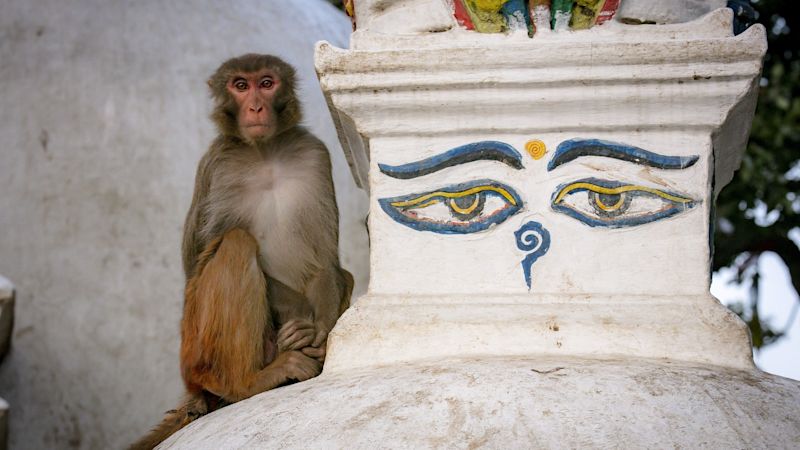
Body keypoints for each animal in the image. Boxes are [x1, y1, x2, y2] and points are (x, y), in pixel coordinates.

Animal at [132, 53, 354, 450]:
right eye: (240, 85)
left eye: (266, 83)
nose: (255, 106)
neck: (265, 154)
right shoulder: (218, 165)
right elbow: (196, 259)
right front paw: (304, 326)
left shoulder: (315, 156)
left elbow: (327, 262)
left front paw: (318, 334)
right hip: (195, 343)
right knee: (235, 242)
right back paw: (245, 382)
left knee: (345, 274)